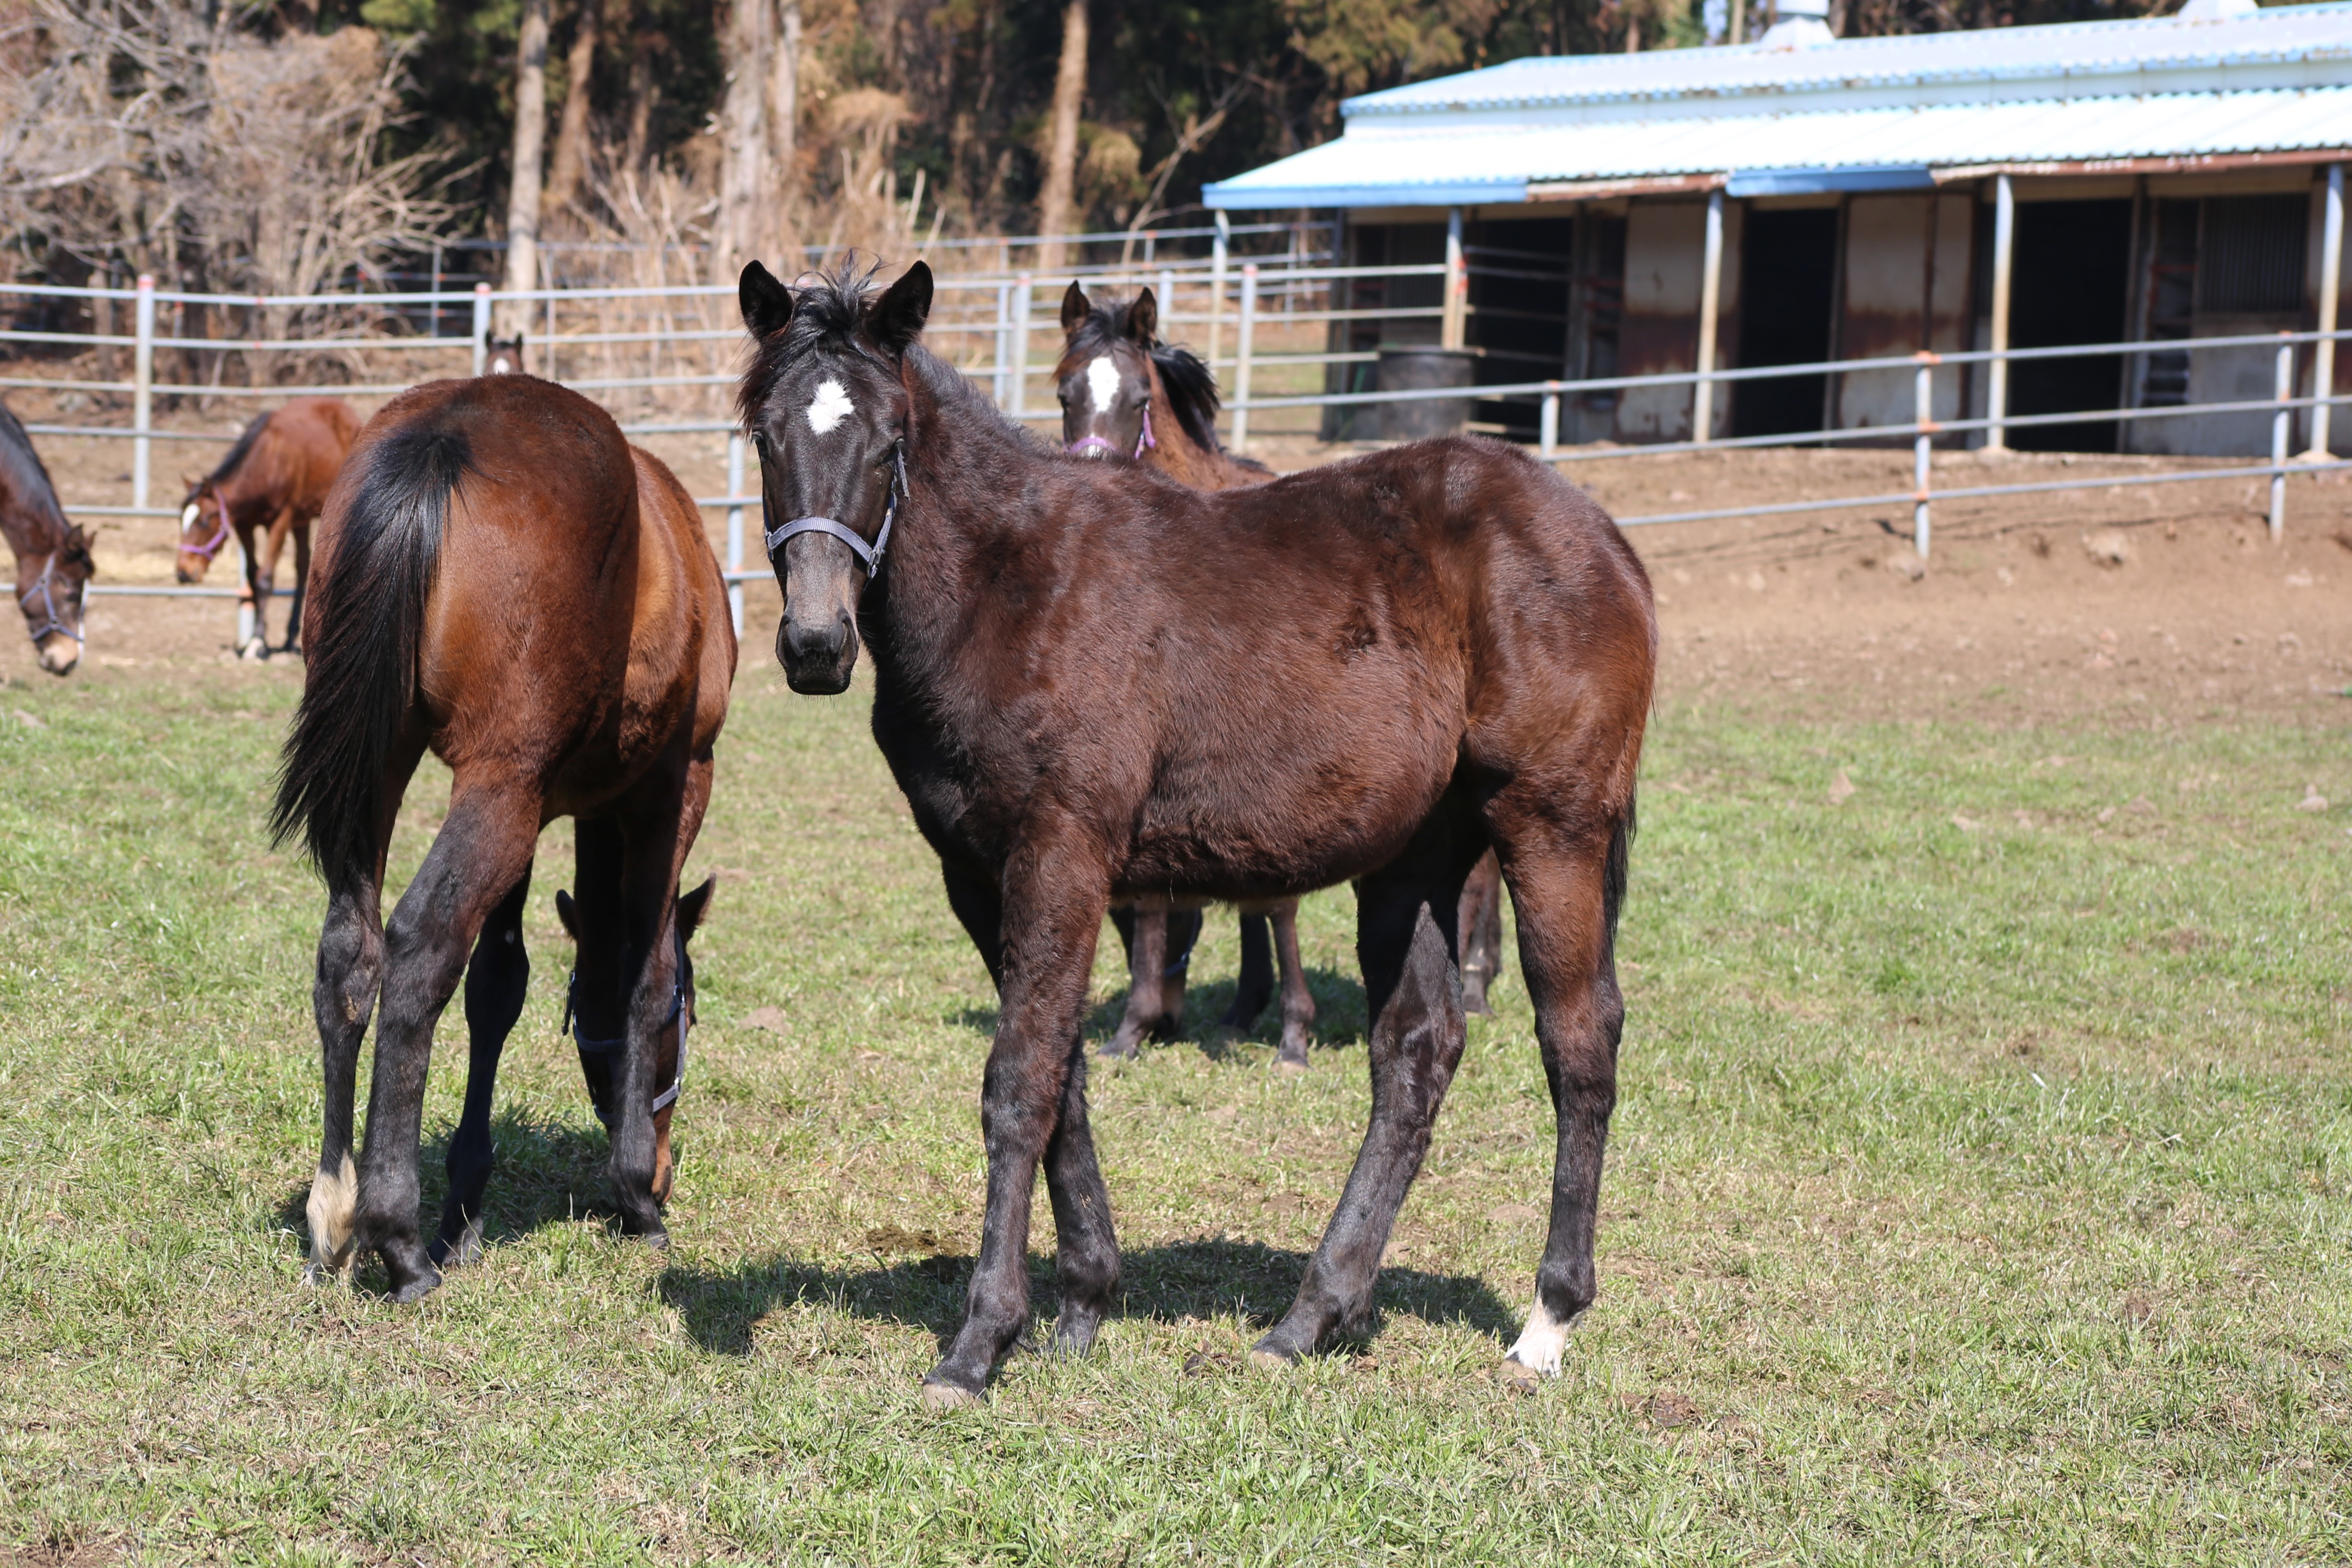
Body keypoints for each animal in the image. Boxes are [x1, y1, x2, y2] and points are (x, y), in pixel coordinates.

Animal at [176, 399, 359, 663]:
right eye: (181, 518)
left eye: (203, 522)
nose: (183, 573)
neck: (267, 462)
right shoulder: (245, 525)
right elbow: (253, 577)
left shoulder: (280, 521)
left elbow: (265, 579)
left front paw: (257, 644)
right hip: (301, 519)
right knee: (301, 567)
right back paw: (290, 637)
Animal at [275, 371, 734, 1298]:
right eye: (693, 1017)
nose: (668, 1168)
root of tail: (443, 433)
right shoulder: (672, 786)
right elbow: (643, 972)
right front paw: (637, 1198)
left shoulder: (540, 805)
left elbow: (499, 987)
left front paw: (467, 1208)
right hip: (497, 786)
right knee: (419, 949)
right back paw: (397, 1239)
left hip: (416, 772)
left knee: (351, 953)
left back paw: (334, 1215)